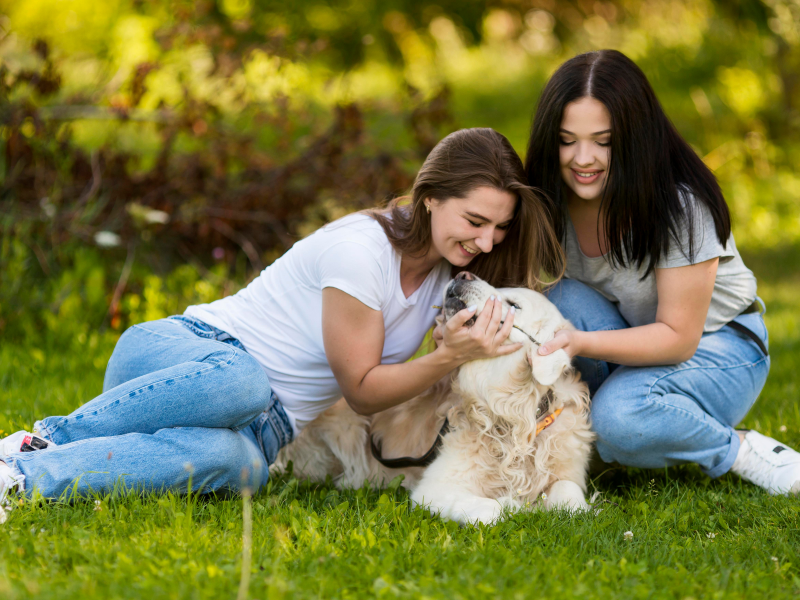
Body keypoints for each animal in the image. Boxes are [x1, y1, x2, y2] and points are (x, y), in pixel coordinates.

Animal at [274, 274, 592, 524]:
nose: (462, 275)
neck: (513, 411)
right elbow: (494, 510)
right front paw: (518, 505)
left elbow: (569, 495)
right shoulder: (435, 488)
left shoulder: (567, 471)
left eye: (514, 304)